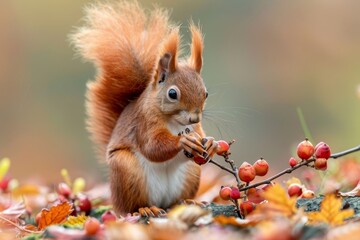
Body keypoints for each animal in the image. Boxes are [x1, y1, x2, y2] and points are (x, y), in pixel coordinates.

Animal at [70, 1, 217, 216]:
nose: (194, 119)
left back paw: (188, 202)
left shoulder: (196, 129)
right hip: (126, 170)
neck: (174, 121)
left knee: (176, 200)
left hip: (191, 173)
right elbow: (152, 147)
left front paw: (213, 143)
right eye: (172, 94)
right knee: (131, 207)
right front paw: (183, 142)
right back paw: (146, 209)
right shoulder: (144, 123)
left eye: (206, 93)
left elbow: (202, 137)